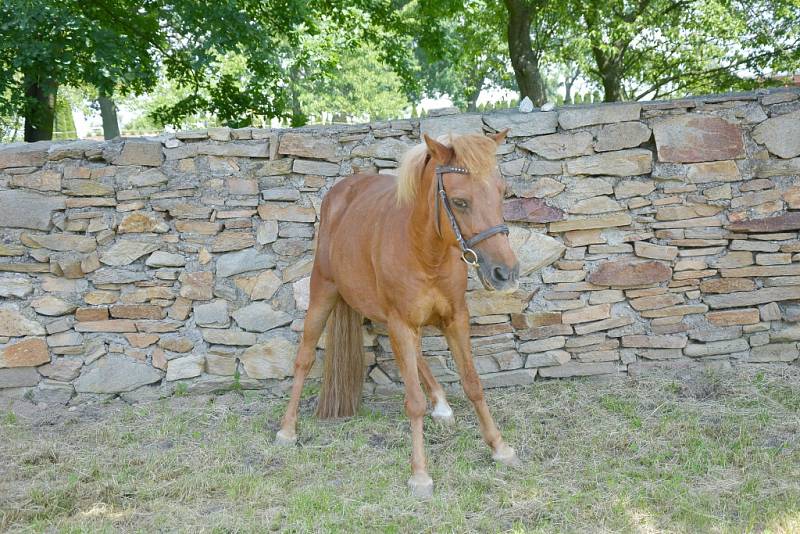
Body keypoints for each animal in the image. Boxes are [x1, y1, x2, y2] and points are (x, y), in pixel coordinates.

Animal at [278, 130, 520, 498]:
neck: (425, 251)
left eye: (501, 192)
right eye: (460, 202)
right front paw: (420, 474)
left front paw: (499, 447)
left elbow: (473, 383)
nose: (505, 272)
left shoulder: (455, 319)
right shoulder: (401, 322)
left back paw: (441, 404)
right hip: (324, 292)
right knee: (304, 358)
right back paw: (288, 428)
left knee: (416, 357)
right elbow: (413, 401)